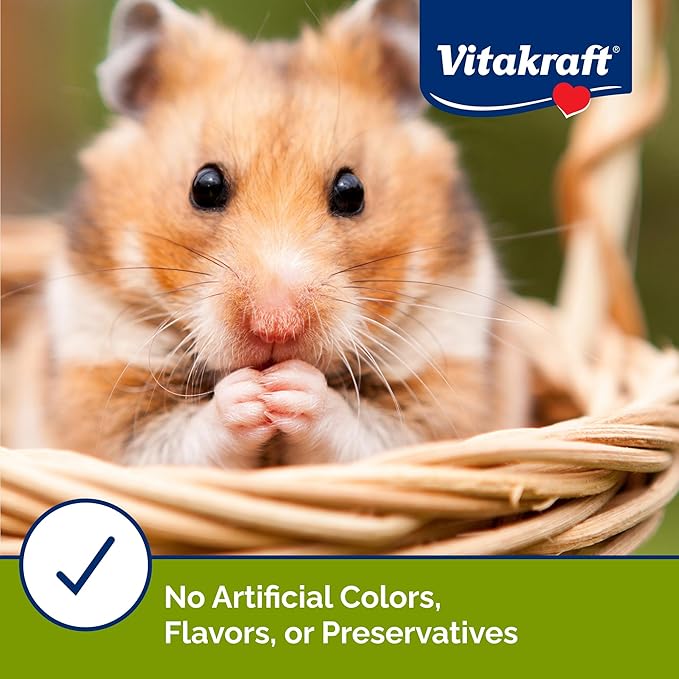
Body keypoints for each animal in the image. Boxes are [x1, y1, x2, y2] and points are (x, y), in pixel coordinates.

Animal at [40, 0, 530, 467]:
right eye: (205, 185)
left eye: (352, 191)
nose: (276, 326)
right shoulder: (102, 392)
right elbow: (179, 439)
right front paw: (252, 395)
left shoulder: (444, 392)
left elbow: (366, 432)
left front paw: (289, 388)